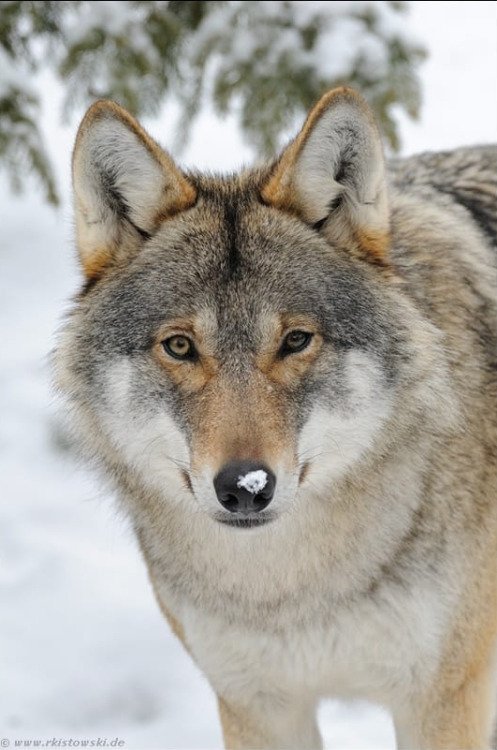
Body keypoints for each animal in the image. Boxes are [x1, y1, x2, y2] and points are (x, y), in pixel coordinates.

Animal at [55, 87, 497, 748]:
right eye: (180, 346)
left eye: (295, 341)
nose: (245, 488)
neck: (291, 592)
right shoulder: (256, 705)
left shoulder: (442, 702)